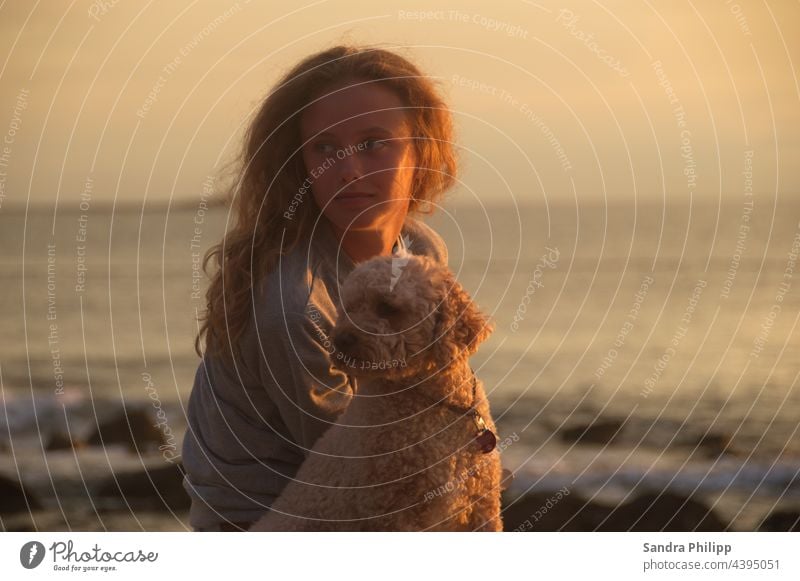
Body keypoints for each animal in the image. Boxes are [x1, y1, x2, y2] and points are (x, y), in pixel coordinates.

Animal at [250, 254, 500, 532]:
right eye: (348, 308)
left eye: (387, 307)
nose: (341, 340)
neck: (432, 402)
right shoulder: (391, 512)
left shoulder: (483, 505)